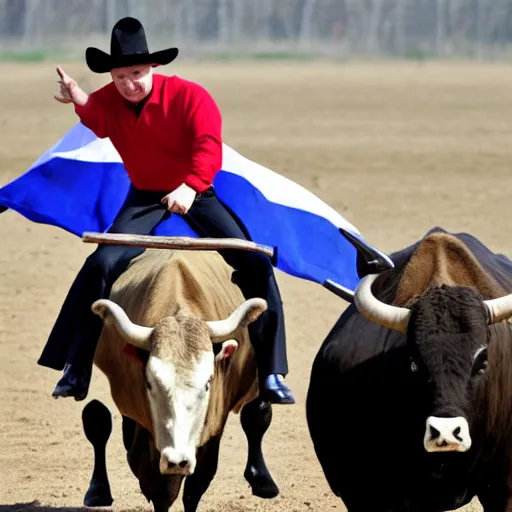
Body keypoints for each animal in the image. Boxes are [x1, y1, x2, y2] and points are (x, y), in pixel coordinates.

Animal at [79, 243, 280, 512]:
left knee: (257, 414)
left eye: (208, 382)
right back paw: (98, 490)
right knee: (96, 417)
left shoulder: (213, 425)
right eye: (150, 384)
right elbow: (158, 485)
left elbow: (196, 483)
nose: (178, 460)